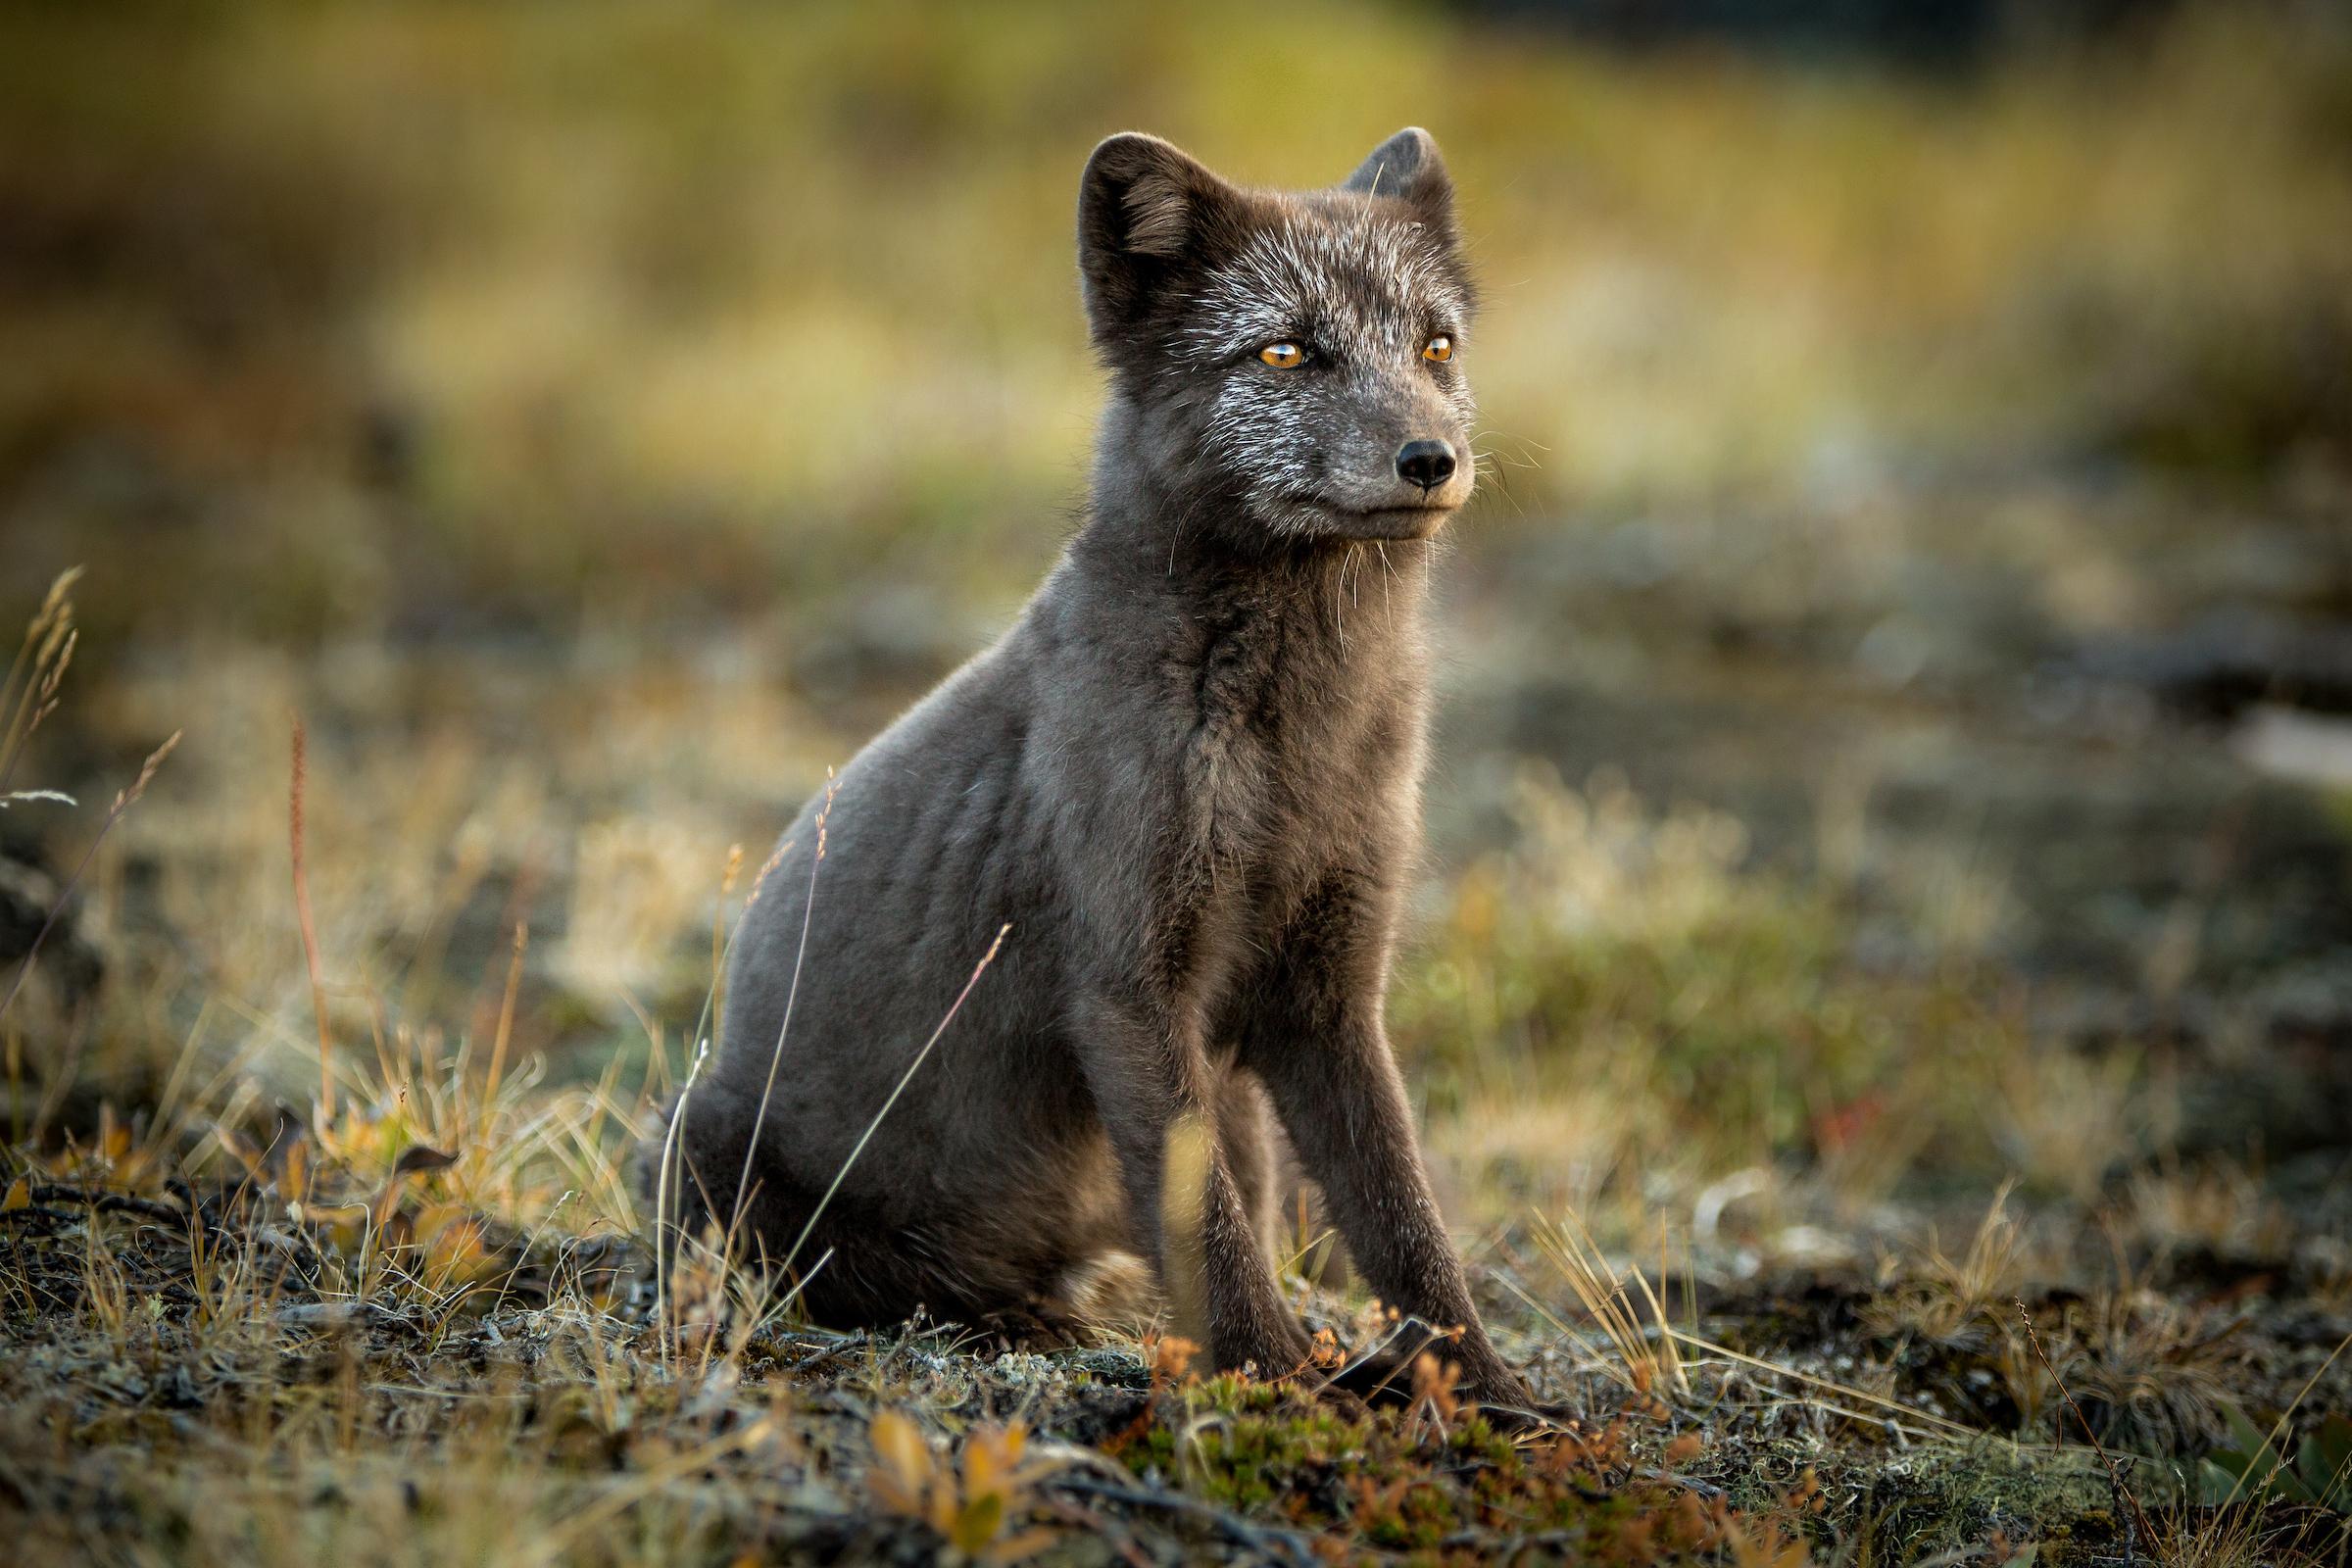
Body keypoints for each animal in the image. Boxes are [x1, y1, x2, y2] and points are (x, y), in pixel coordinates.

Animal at [654, 128, 1533, 1419]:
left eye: (1436, 347)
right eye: (1286, 350)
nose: (1434, 458)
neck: (1293, 741)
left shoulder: (1327, 997)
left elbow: (1403, 1218)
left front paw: (1493, 1394)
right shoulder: (1128, 989)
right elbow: (1210, 1227)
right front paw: (1272, 1386)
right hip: (700, 1140)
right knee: (869, 1281)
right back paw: (1015, 1320)